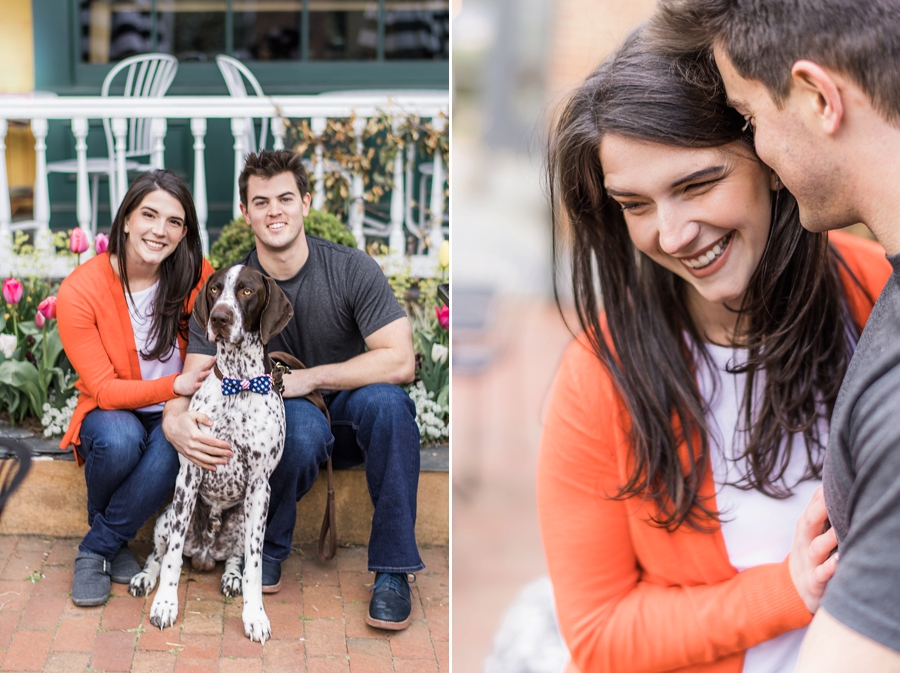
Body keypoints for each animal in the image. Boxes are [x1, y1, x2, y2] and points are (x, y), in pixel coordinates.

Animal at [129, 266, 320, 644]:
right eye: (215, 288)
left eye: (247, 291)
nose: (219, 317)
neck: (239, 383)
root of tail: (205, 554)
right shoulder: (189, 476)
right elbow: (172, 558)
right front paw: (165, 604)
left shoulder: (260, 487)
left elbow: (255, 567)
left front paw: (255, 615)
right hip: (166, 518)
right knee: (158, 554)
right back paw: (146, 578)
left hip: (244, 521)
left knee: (235, 558)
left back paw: (231, 577)